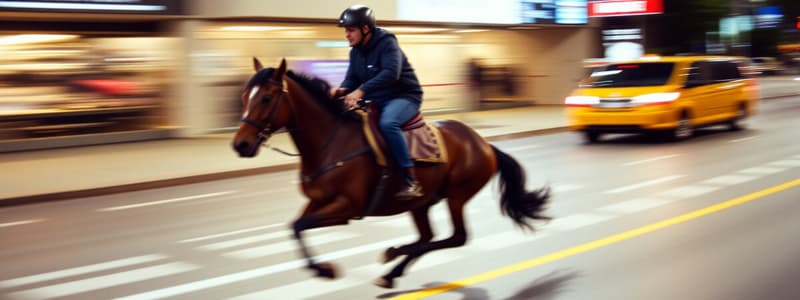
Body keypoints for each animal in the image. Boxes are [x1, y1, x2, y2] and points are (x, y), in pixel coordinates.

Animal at [228, 58, 548, 288]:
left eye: (267, 98)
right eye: (244, 96)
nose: (240, 144)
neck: (331, 140)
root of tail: (484, 143)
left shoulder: (347, 207)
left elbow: (300, 225)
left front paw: (325, 270)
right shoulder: (317, 201)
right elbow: (295, 227)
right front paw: (322, 268)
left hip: (457, 196)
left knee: (455, 238)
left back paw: (394, 260)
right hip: (421, 203)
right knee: (427, 237)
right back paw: (393, 264)